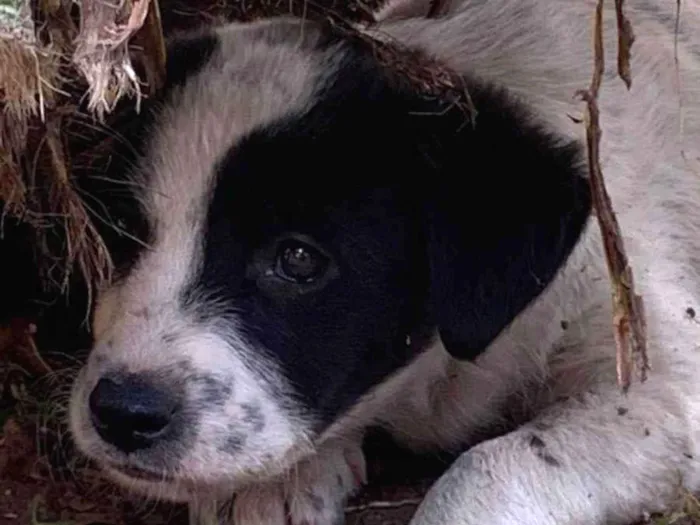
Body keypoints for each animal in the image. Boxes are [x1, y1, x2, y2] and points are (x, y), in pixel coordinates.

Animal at [67, 0, 700, 520]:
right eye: (120, 233)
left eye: (298, 259)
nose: (122, 412)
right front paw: (266, 486)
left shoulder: (656, 388)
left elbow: (486, 471)